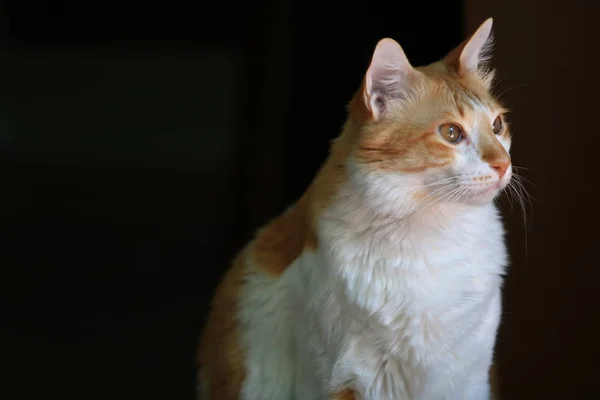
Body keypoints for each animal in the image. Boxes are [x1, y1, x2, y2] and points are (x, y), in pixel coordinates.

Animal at [198, 18, 510, 400]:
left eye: (497, 126)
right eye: (451, 133)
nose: (504, 164)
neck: (436, 237)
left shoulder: (469, 379)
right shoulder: (343, 381)